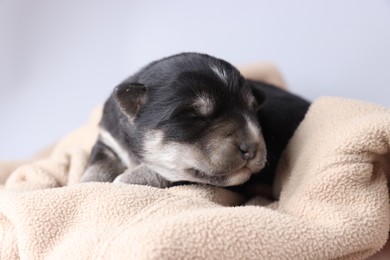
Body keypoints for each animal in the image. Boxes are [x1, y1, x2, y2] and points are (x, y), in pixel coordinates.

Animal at [80, 52, 310, 191]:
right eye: (194, 116)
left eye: (253, 110)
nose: (251, 149)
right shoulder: (108, 141)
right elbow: (98, 165)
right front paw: (85, 184)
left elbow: (164, 172)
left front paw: (124, 179)